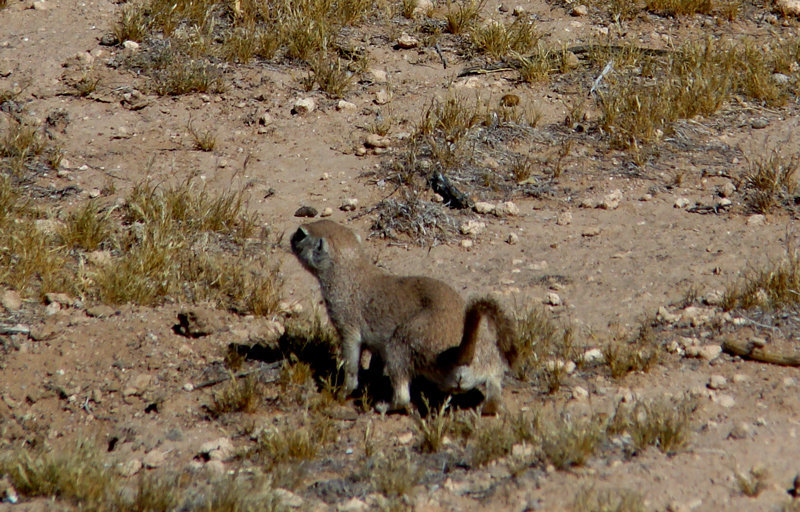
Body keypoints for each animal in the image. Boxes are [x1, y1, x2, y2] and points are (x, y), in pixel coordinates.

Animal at [290, 220, 516, 412]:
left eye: (301, 233)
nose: (292, 236)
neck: (352, 270)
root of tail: (459, 355)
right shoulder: (376, 343)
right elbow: (375, 361)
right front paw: (371, 377)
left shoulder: (347, 325)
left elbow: (352, 364)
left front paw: (341, 392)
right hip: (490, 360)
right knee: (494, 386)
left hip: (399, 346)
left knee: (402, 396)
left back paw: (383, 406)